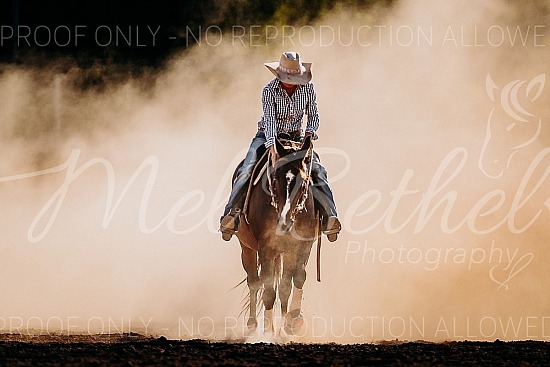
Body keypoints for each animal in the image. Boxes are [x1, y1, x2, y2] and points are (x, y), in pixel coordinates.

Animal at [237, 135, 320, 336]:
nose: (284, 222)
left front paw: (292, 322)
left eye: (303, 182)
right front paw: (268, 331)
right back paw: (253, 326)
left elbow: (293, 281)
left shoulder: (303, 245)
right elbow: (268, 290)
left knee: (281, 285)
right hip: (247, 247)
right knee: (254, 281)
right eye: (274, 180)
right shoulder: (266, 248)